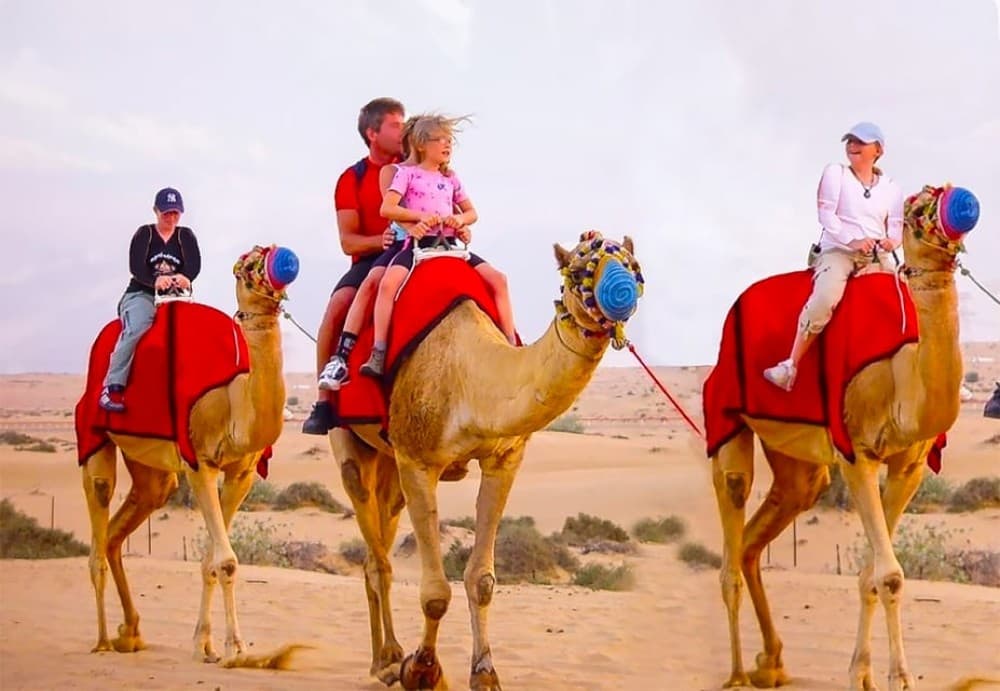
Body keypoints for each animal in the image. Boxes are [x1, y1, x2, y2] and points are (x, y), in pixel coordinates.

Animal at [79, 245, 301, 668]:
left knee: (118, 531)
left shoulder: (243, 473)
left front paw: (205, 645)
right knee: (98, 526)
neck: (232, 398)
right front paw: (236, 649)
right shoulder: (199, 461)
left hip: (152, 471)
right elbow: (226, 560)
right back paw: (100, 641)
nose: (285, 262)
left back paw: (130, 633)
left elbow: (210, 561)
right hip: (93, 437)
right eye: (246, 264)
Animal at [328, 231, 643, 690]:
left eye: (634, 265)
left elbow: (483, 580)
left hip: (389, 460)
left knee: (378, 547)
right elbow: (435, 593)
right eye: (579, 269)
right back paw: (388, 660)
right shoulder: (418, 460)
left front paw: (486, 673)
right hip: (352, 441)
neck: (470, 378)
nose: (623, 293)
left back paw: (383, 659)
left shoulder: (504, 459)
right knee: (377, 554)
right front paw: (423, 670)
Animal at [707, 185, 981, 690]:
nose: (962, 206)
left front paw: (864, 675)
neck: (900, 375)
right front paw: (900, 678)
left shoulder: (910, 466)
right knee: (732, 535)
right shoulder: (857, 452)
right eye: (916, 206)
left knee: (760, 535)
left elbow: (871, 573)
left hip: (797, 460)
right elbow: (889, 575)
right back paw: (737, 674)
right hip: (726, 415)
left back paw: (770, 663)